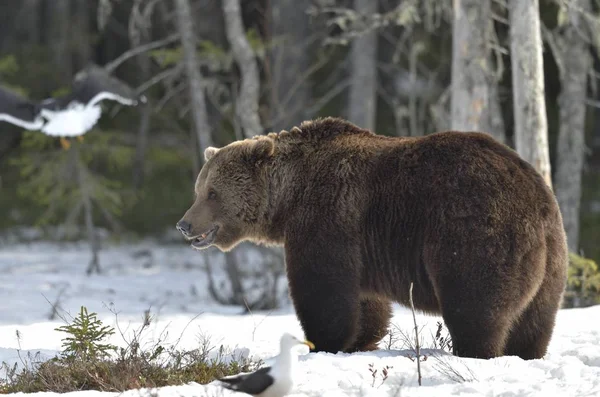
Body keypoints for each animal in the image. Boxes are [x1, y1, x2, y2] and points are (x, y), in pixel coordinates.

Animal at [177, 117, 568, 358]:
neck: (288, 198)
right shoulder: (361, 246)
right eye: (198, 190)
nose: (184, 224)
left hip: (474, 232)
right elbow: (366, 303)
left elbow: (322, 291)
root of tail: (537, 195)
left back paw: (475, 351)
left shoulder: (327, 217)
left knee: (475, 306)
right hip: (551, 260)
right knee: (535, 319)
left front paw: (320, 343)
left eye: (212, 193)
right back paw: (525, 353)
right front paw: (360, 341)